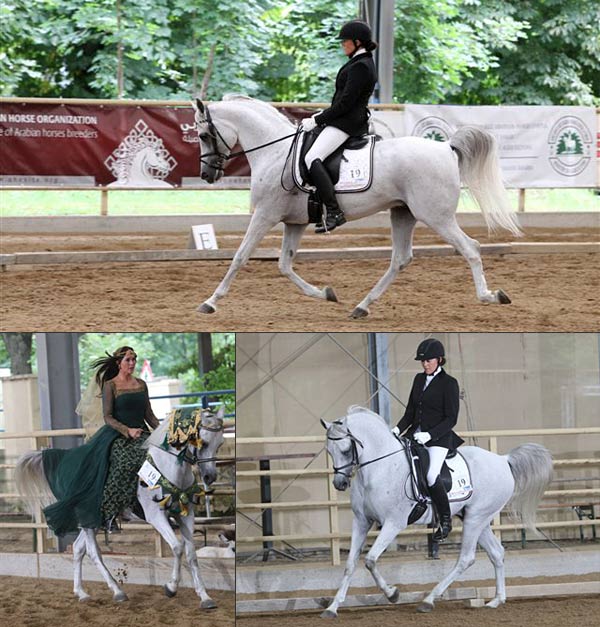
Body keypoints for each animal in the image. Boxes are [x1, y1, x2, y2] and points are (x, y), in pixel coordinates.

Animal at [17, 408, 227, 608]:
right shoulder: (156, 516)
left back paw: (82, 593)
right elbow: (177, 547)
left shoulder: (186, 515)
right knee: (93, 553)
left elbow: (191, 554)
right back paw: (117, 592)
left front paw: (205, 597)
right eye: (203, 443)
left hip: (94, 520)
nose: (209, 477)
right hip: (87, 517)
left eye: (220, 444)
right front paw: (171, 587)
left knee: (77, 549)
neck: (169, 468)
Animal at [196, 96, 520, 318]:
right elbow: (284, 265)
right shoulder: (295, 222)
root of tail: (445, 146)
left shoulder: (265, 215)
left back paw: (490, 296)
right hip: (403, 213)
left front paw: (210, 302)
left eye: (202, 135)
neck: (275, 152)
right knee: (400, 259)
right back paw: (362, 306)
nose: (207, 175)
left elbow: (240, 256)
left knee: (471, 248)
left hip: (436, 217)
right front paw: (325, 293)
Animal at [324, 408, 552, 620]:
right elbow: (350, 564)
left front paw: (393, 594)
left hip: (476, 519)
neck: (381, 468)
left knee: (466, 558)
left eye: (346, 450)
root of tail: (503, 460)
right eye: (329, 451)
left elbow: (370, 560)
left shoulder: (393, 523)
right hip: (477, 519)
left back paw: (429, 600)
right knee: (496, 553)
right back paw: (496, 600)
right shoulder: (361, 522)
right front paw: (332, 608)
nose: (340, 484)